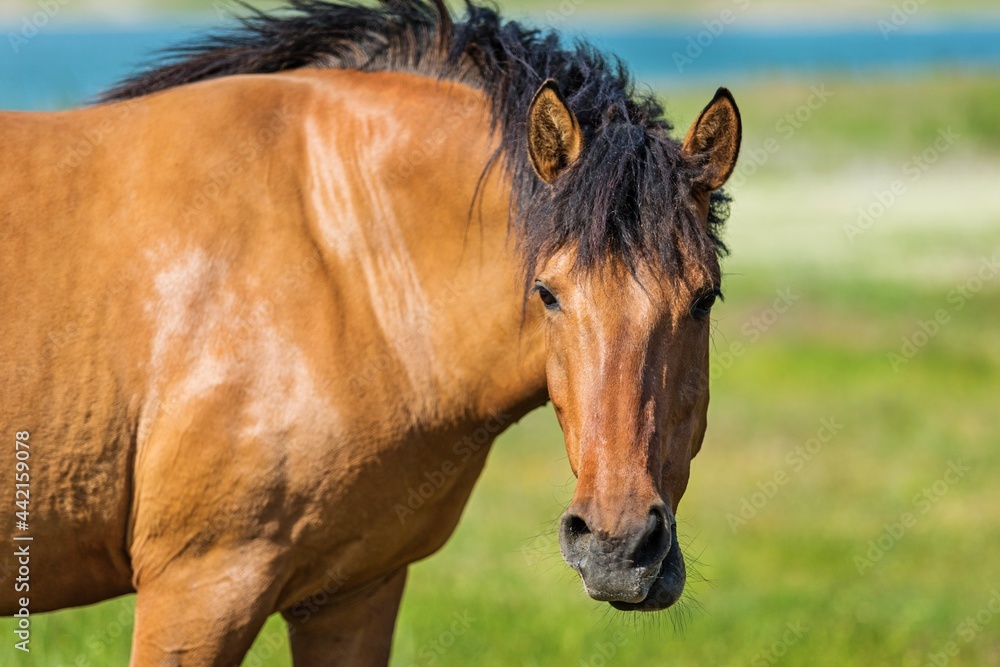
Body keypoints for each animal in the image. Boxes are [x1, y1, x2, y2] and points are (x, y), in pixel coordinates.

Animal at [0, 2, 736, 664]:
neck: (340, 256)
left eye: (704, 298)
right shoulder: (200, 587)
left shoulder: (354, 591)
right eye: (547, 294)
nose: (619, 548)